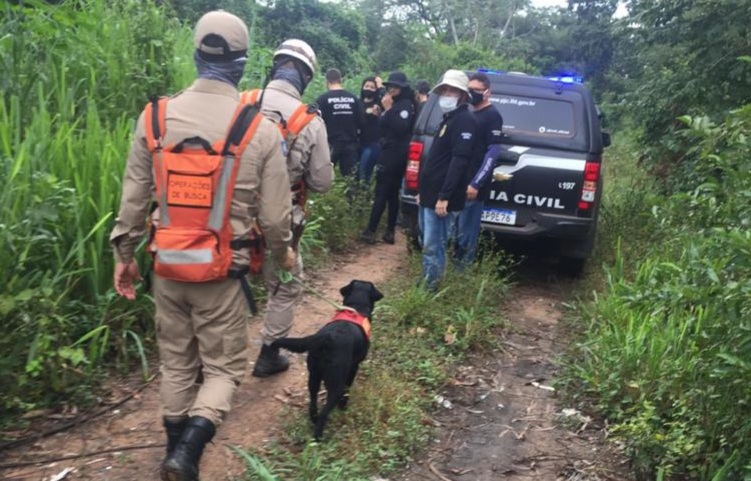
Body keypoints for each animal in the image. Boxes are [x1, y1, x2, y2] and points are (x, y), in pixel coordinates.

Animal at [272, 278, 382, 438]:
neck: (355, 307)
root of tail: (325, 339)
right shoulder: (354, 366)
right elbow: (348, 387)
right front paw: (344, 405)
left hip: (313, 376)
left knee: (313, 400)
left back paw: (314, 418)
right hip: (336, 383)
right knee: (325, 410)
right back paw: (318, 436)